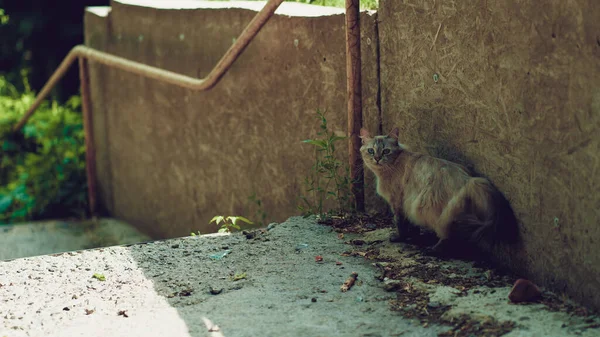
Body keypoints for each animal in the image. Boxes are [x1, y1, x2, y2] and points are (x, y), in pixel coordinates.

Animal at [358, 126, 516, 255]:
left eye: (386, 151)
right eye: (371, 151)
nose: (377, 158)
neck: (393, 164)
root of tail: (469, 180)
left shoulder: (398, 202)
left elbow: (401, 224)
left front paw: (399, 238)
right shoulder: (408, 203)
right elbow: (412, 226)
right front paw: (413, 236)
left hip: (437, 213)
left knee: (447, 237)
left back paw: (432, 251)